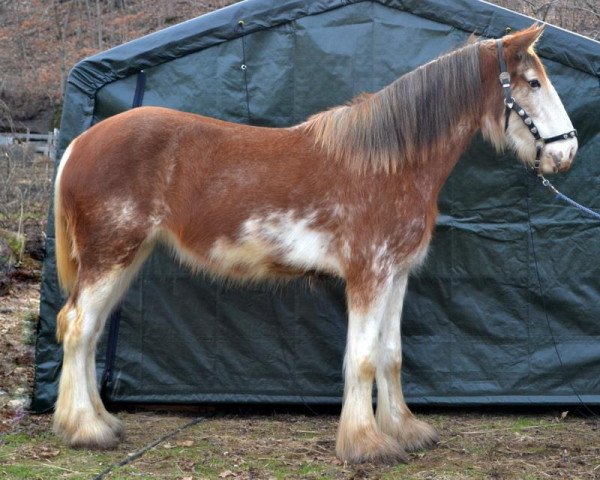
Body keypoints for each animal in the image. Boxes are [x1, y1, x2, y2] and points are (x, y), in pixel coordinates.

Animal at [54, 24, 580, 464]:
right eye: (533, 83)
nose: (568, 151)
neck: (390, 163)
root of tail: (79, 144)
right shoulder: (368, 274)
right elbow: (363, 358)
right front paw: (366, 444)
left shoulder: (397, 274)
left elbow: (390, 355)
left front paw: (404, 431)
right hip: (110, 256)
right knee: (78, 327)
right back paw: (86, 430)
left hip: (126, 259)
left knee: (90, 331)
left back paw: (99, 421)